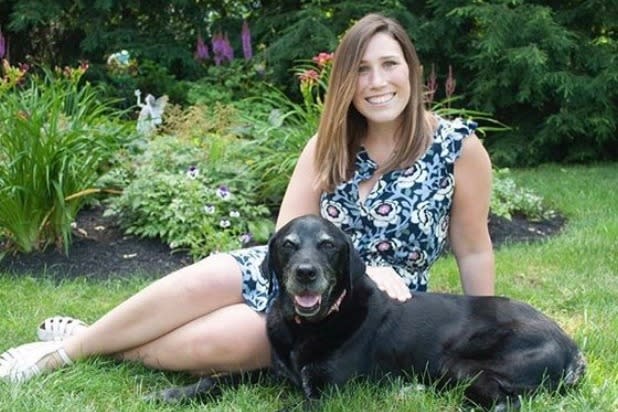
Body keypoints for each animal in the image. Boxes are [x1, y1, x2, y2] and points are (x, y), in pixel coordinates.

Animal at [262, 216, 584, 408]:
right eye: (288, 245)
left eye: (328, 245)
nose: (306, 272)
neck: (307, 325)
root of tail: (572, 348)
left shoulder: (326, 393)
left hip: (456, 363)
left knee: (506, 401)